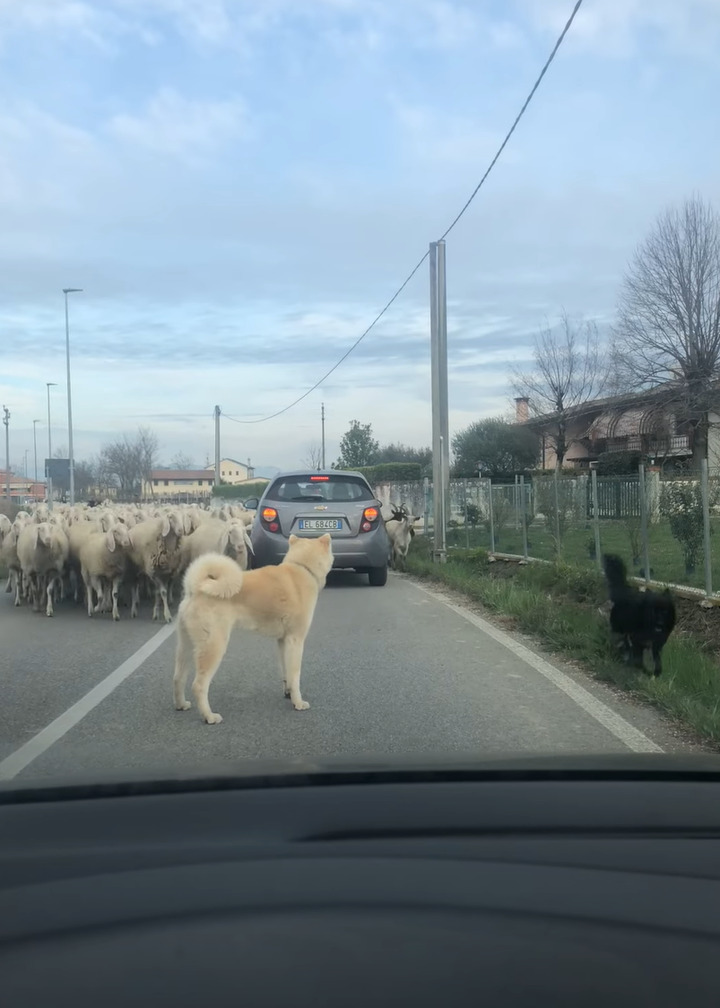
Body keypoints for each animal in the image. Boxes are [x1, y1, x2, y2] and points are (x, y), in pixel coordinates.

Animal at [172, 536, 332, 725]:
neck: (302, 568)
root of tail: (194, 589)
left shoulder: (282, 641)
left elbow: (286, 672)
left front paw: (288, 693)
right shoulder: (295, 640)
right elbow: (295, 676)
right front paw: (298, 702)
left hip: (187, 647)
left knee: (178, 678)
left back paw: (181, 705)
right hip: (213, 647)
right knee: (198, 686)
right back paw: (209, 716)